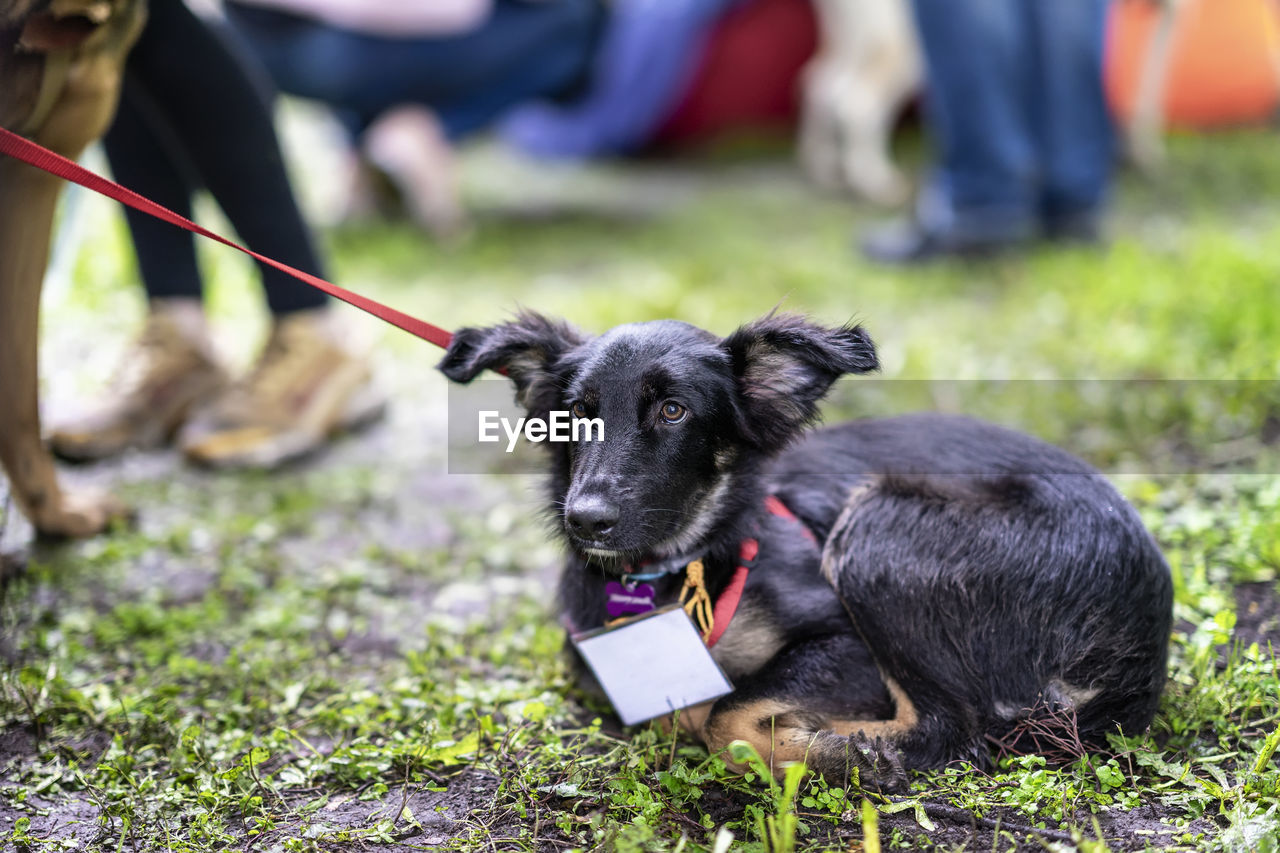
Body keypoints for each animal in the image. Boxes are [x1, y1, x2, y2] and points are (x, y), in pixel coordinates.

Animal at [437, 312, 1172, 788]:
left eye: (674, 411)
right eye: (574, 414)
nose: (586, 520)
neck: (673, 571)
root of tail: (1148, 636)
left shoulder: (843, 641)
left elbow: (725, 712)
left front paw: (804, 740)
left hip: (878, 529)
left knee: (952, 729)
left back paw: (853, 750)